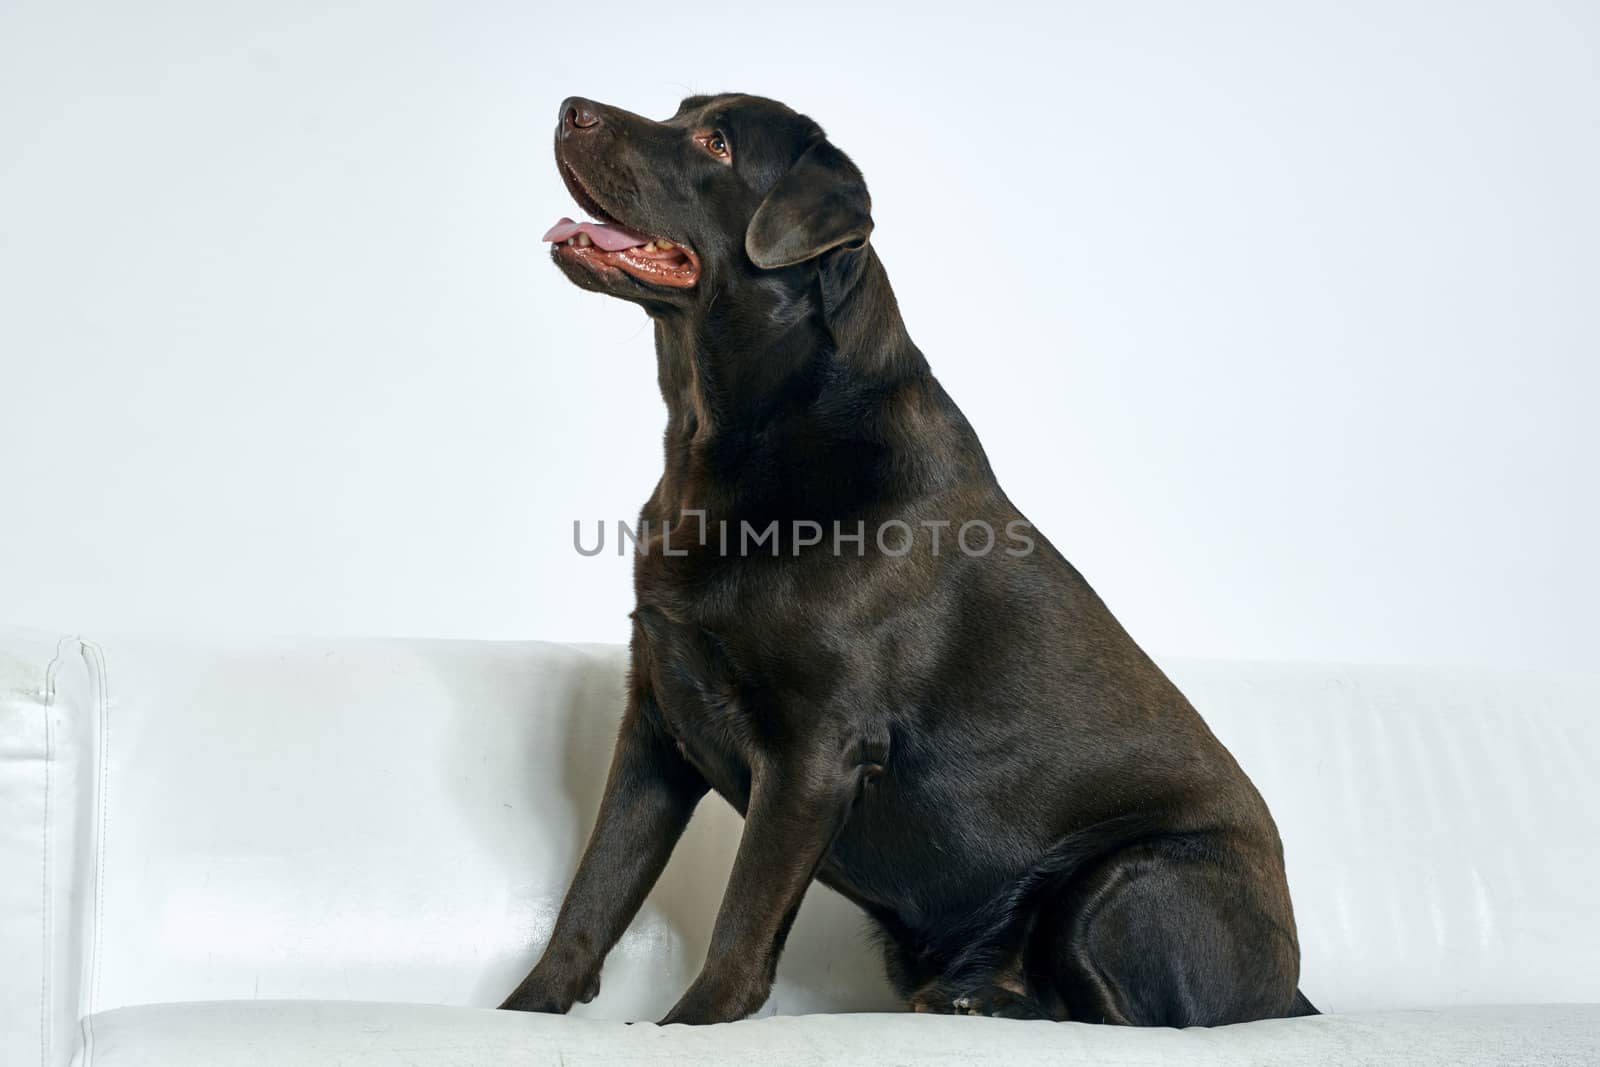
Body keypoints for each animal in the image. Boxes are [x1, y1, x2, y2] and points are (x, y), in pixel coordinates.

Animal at [499, 91, 1312, 1023]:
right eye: (680, 111)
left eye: (716, 143)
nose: (572, 109)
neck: (718, 431)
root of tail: (1292, 990)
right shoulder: (656, 718)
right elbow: (593, 892)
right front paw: (524, 1010)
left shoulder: (817, 747)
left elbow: (742, 918)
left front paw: (689, 1025)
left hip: (1128, 878)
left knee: (1133, 1015)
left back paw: (988, 1001)